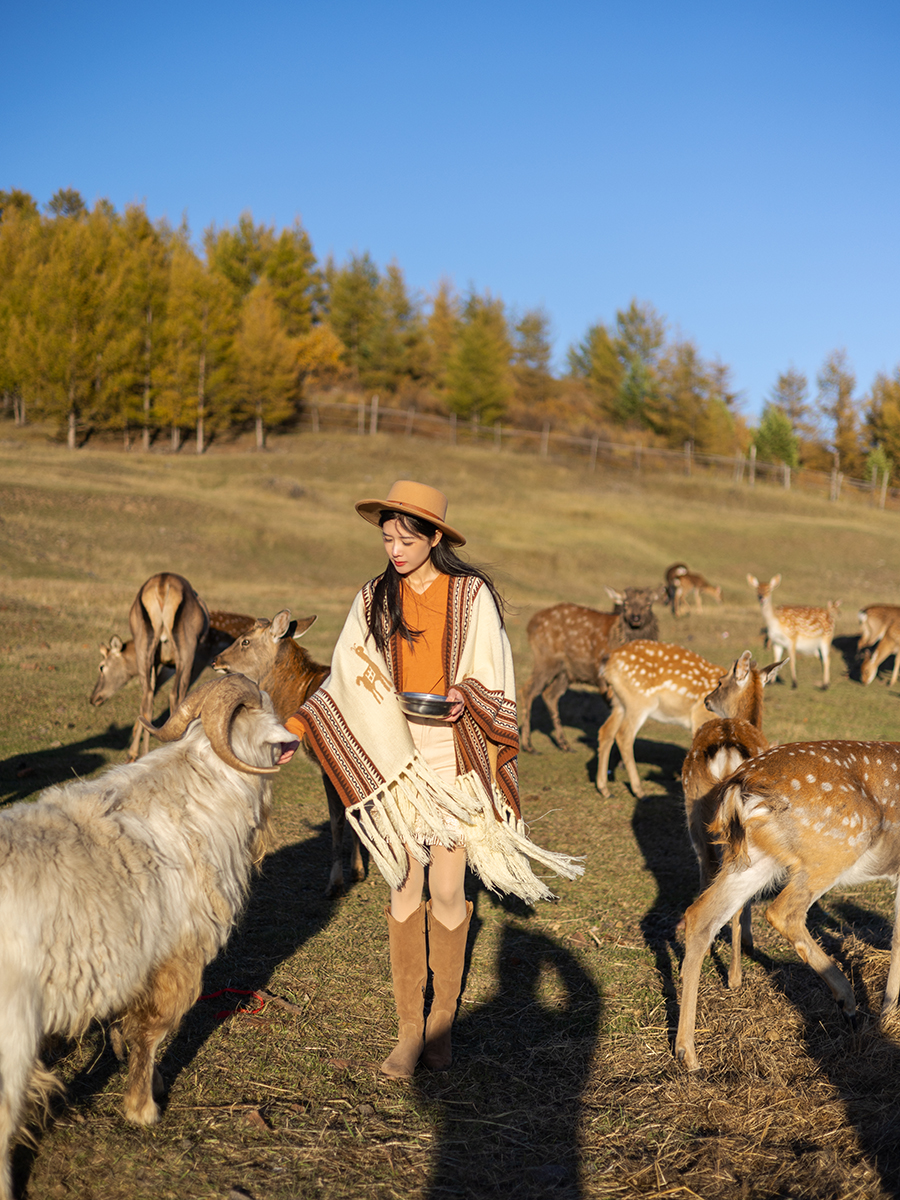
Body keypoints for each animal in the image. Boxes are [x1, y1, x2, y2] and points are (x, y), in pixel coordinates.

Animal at [520, 588, 672, 753]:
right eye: (625, 603)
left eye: (649, 604)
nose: (636, 617)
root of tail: (530, 624)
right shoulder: (603, 678)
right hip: (546, 659)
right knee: (527, 690)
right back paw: (528, 746)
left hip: (566, 671)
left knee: (550, 695)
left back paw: (564, 744)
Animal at [595, 643, 729, 801]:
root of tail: (608, 662)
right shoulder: (700, 714)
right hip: (639, 700)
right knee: (624, 735)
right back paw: (639, 791)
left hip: (618, 702)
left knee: (606, 731)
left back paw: (605, 789)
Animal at [676, 739, 900, 1070]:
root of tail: (740, 785)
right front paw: (888, 1018)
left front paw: (887, 1016)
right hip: (835, 848)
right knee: (782, 912)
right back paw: (848, 1003)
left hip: (755, 859)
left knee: (699, 917)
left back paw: (688, 1054)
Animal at [681, 652, 787, 988]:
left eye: (718, 682)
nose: (706, 699)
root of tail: (727, 746)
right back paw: (735, 975)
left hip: (697, 808)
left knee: (708, 867)